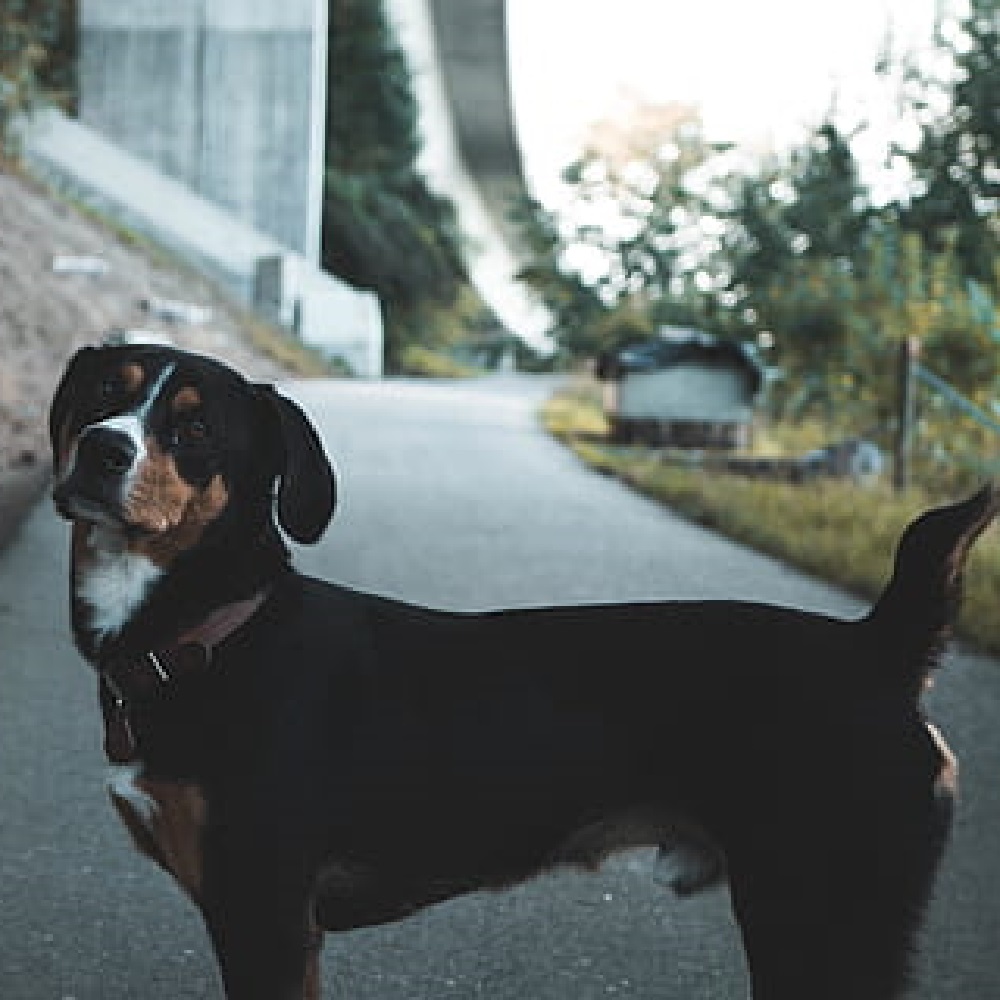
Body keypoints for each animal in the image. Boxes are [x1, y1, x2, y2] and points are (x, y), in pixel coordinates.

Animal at [50, 340, 996, 996]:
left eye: (195, 429)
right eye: (103, 394)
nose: (101, 449)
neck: (212, 636)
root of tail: (879, 646)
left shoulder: (267, 917)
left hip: (823, 915)